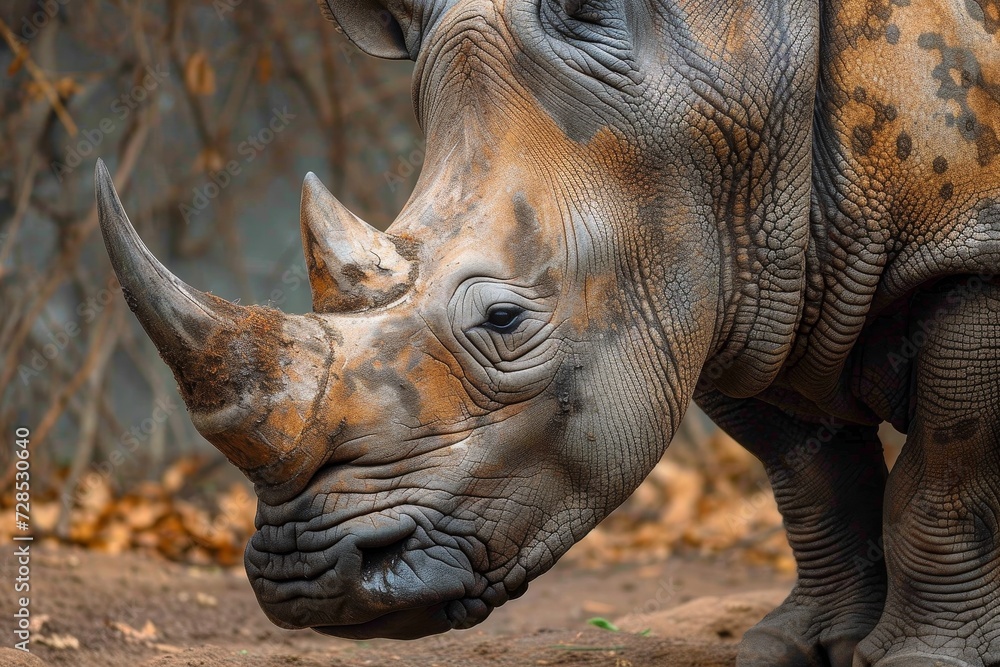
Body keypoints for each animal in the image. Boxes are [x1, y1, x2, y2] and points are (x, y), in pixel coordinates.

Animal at [94, 0, 1000, 664]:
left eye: (504, 320)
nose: (303, 576)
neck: (729, 73)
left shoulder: (968, 262)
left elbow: (944, 485)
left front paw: (918, 661)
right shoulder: (741, 277)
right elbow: (808, 475)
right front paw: (800, 649)